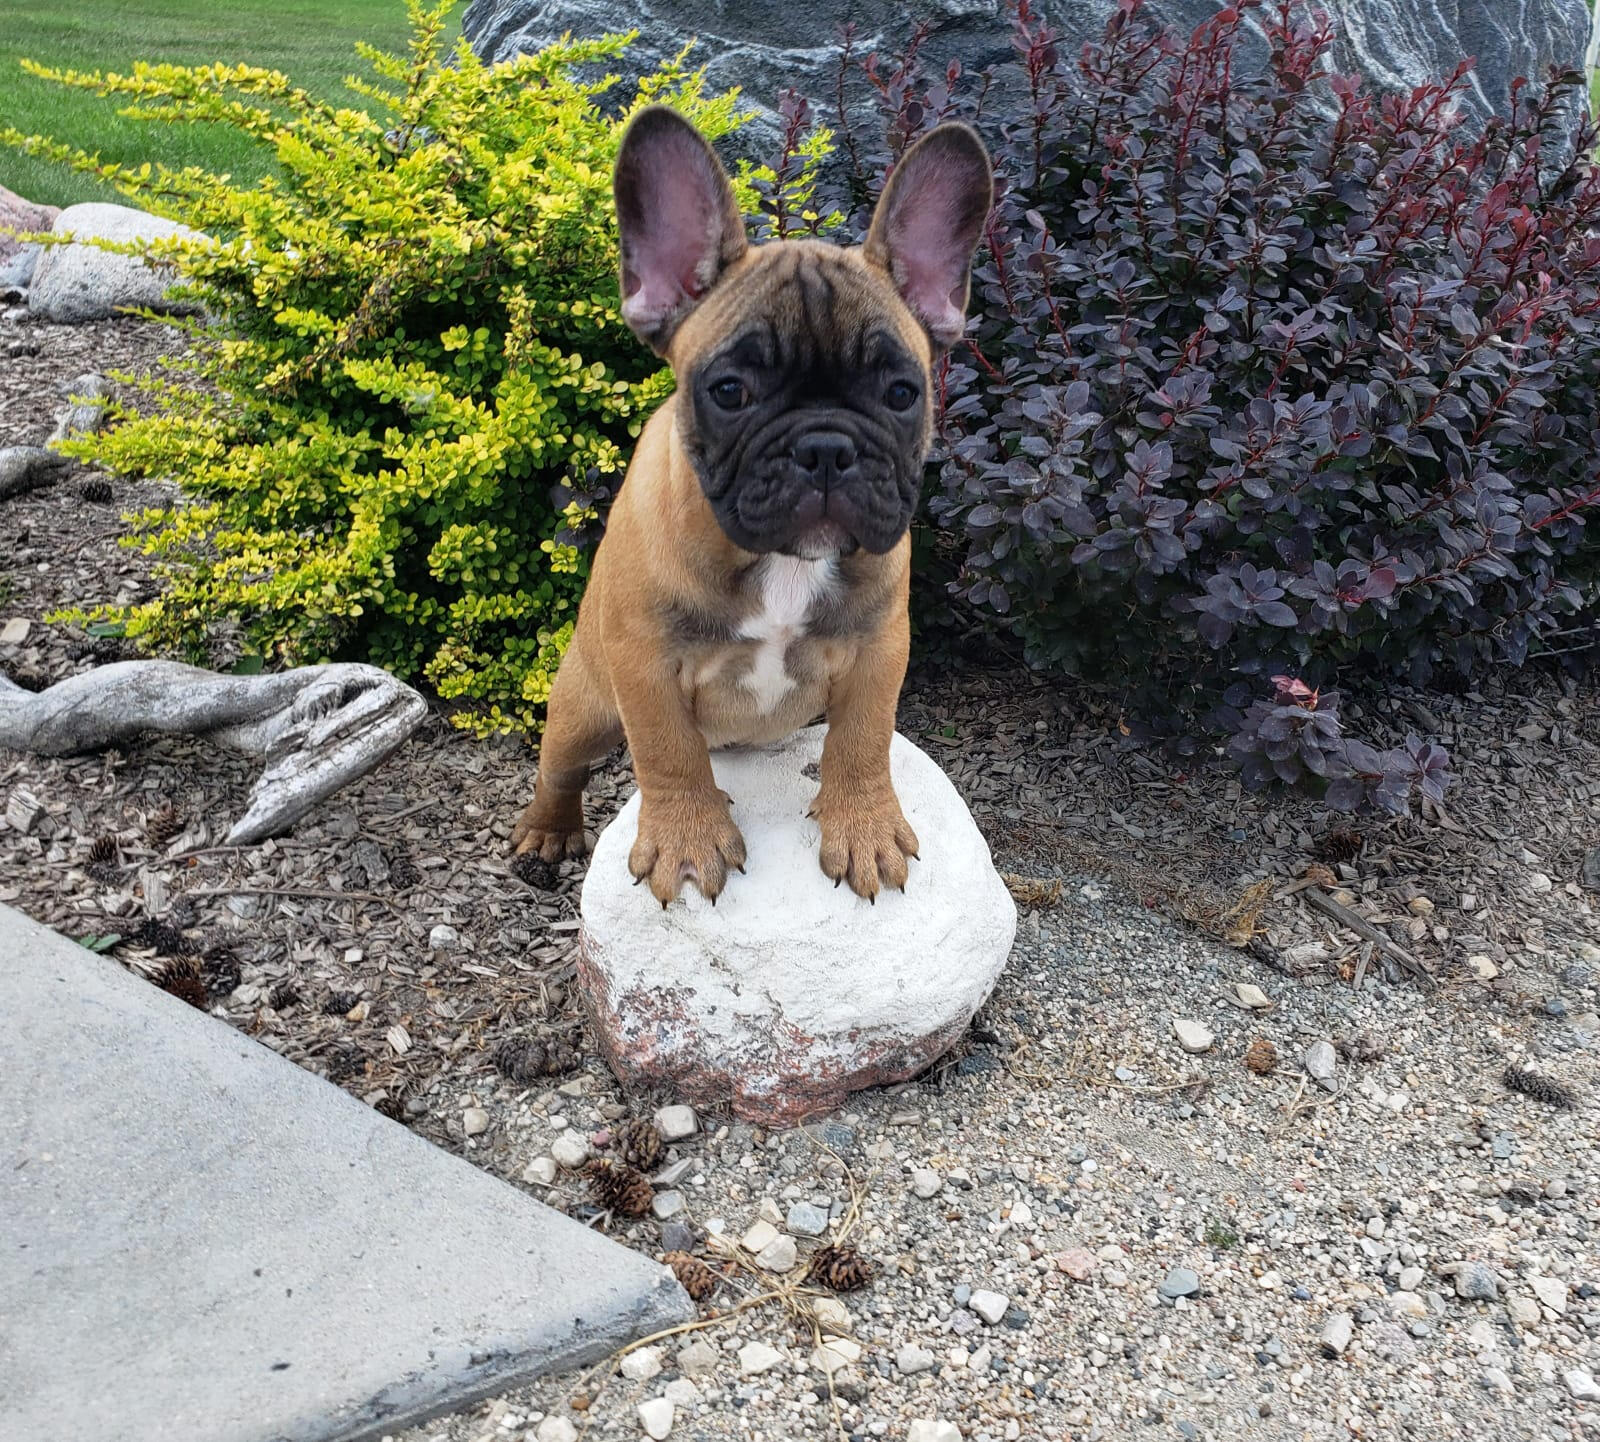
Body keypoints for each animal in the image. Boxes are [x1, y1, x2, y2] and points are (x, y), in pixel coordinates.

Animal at [512, 104, 985, 902]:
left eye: (902, 393)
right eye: (730, 391)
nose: (825, 447)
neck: (780, 561)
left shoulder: (878, 650)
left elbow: (863, 742)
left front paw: (864, 828)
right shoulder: (644, 663)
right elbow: (669, 752)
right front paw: (687, 840)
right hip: (583, 701)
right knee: (562, 766)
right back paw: (548, 832)